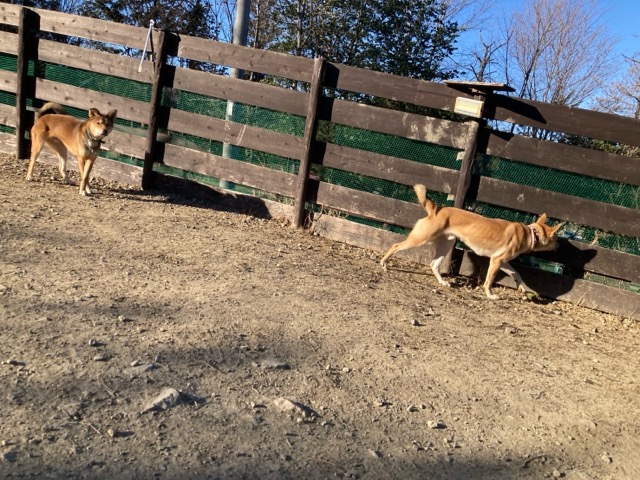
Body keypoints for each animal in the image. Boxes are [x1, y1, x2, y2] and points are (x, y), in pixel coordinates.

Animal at [380, 184, 564, 299]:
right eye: (556, 239)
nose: (559, 246)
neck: (531, 233)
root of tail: (436, 210)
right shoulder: (496, 261)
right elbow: (489, 281)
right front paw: (490, 295)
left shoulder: (502, 261)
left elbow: (516, 273)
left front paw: (521, 287)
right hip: (421, 238)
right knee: (396, 246)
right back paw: (384, 264)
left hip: (446, 244)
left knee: (434, 264)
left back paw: (443, 282)